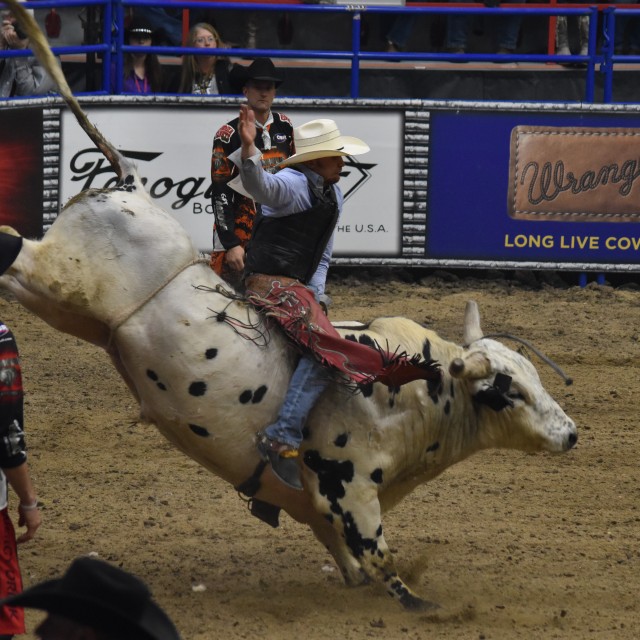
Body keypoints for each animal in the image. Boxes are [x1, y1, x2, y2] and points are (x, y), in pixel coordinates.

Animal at [0, 0, 577, 611]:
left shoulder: (323, 510)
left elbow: (351, 562)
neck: (419, 388)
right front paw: (429, 608)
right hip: (59, 277)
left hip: (68, 308)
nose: (570, 434)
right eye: (508, 390)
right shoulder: (350, 490)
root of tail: (131, 187)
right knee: (14, 246)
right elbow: (384, 564)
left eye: (535, 377)